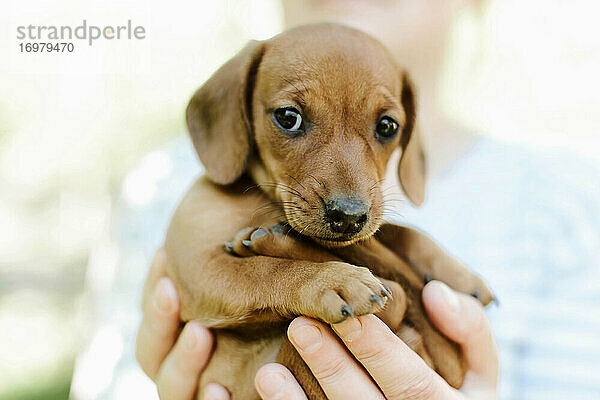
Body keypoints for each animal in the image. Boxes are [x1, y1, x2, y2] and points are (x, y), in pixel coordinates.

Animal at [164, 23, 492, 398]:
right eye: (288, 117)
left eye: (388, 126)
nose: (348, 216)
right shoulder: (200, 268)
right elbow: (267, 271)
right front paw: (332, 281)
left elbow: (400, 232)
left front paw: (458, 272)